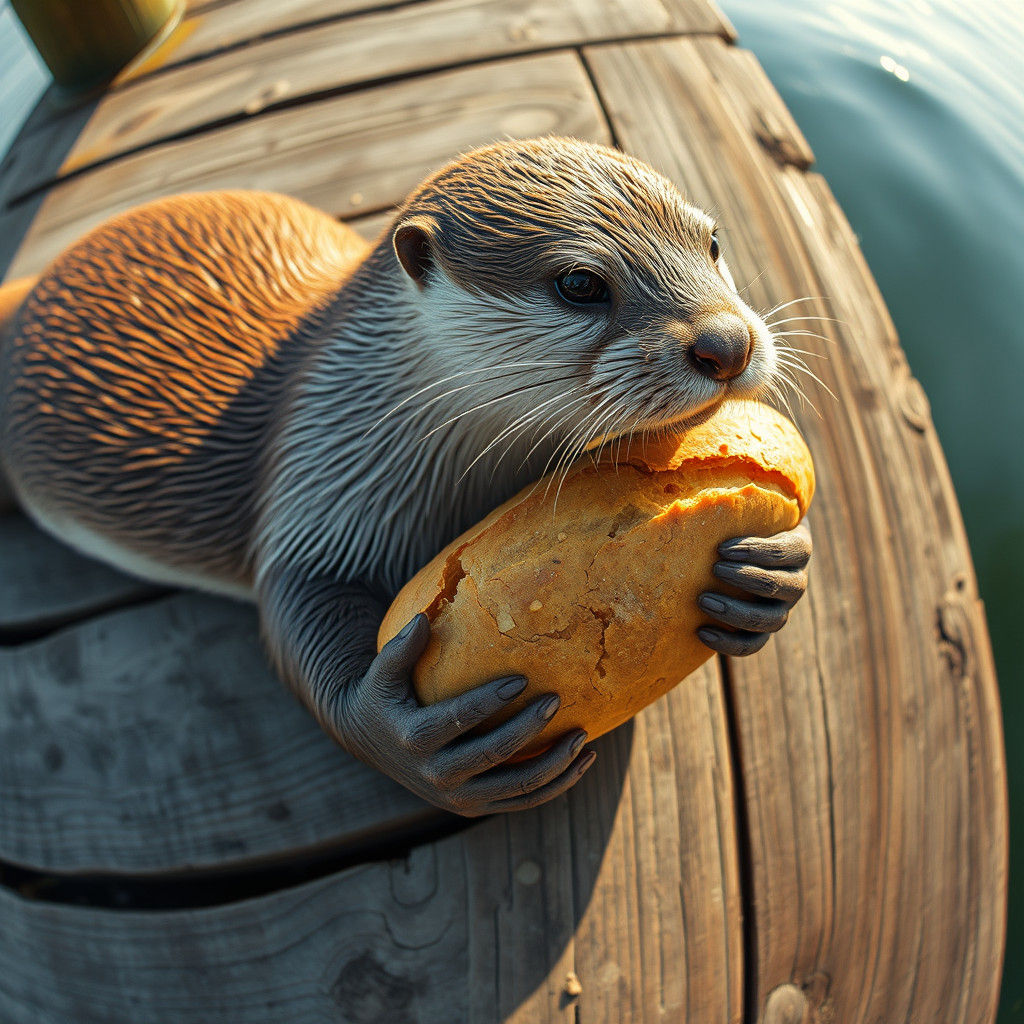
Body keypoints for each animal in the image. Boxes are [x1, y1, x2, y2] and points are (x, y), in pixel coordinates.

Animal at [0, 138, 811, 816]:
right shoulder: (322, 473)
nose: (726, 343)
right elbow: (291, 601)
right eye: (580, 283)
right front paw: (400, 737)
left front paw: (771, 576)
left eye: (713, 242)